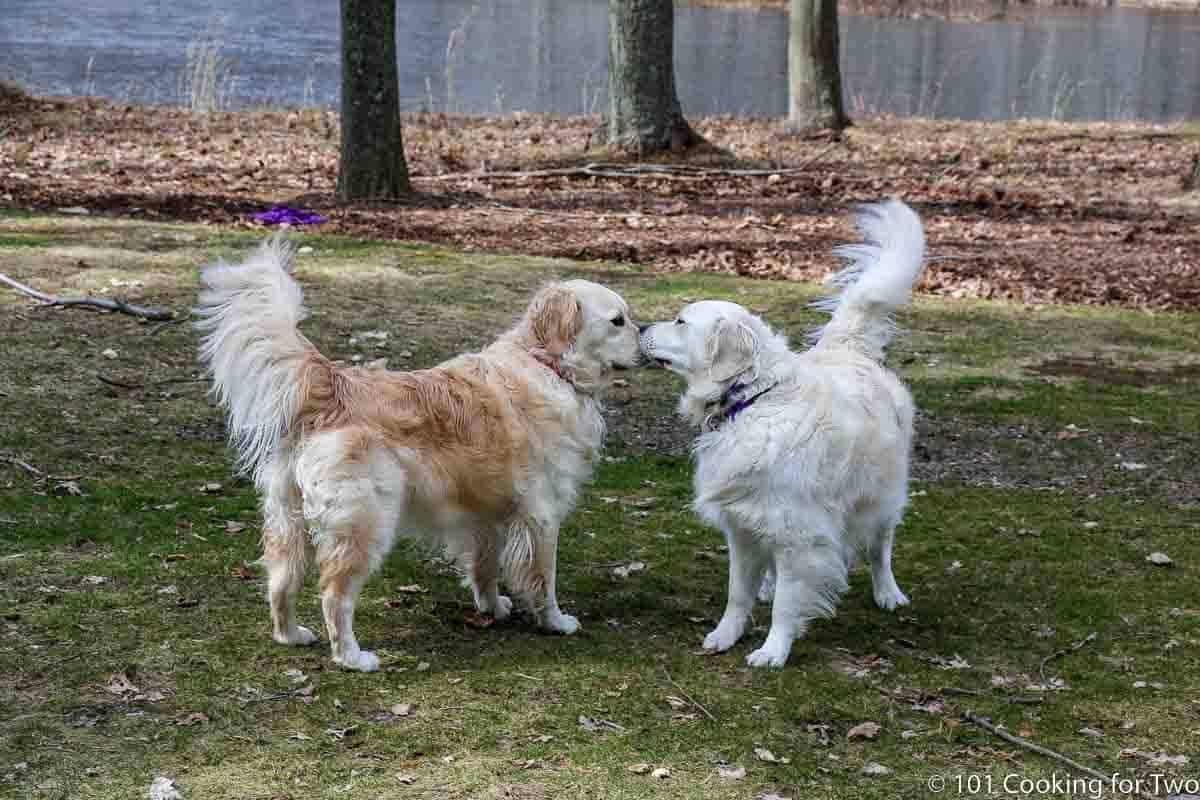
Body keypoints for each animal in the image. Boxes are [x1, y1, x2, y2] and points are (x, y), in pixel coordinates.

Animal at [195, 241, 643, 671]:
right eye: (618, 321)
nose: (647, 341)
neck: (549, 364)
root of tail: (333, 384)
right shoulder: (542, 513)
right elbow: (544, 578)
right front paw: (555, 621)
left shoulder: (486, 513)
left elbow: (485, 567)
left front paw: (492, 606)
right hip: (365, 522)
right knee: (334, 596)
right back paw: (352, 658)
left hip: (286, 517)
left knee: (281, 582)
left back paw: (290, 635)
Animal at [643, 200, 921, 671]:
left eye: (680, 321)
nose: (641, 327)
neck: (752, 400)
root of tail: (847, 348)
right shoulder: (740, 524)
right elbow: (737, 592)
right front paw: (726, 634)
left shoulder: (800, 532)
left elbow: (787, 604)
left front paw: (774, 649)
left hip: (881, 495)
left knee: (879, 547)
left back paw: (888, 592)